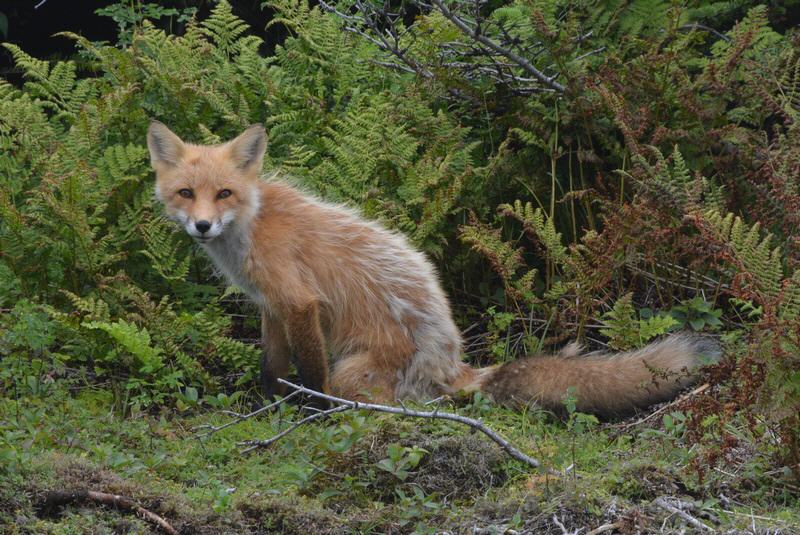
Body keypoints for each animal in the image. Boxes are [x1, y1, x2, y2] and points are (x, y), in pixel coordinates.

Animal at [145, 122, 720, 418]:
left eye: (223, 193)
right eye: (186, 193)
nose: (202, 226)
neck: (252, 223)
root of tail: (455, 365)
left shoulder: (299, 302)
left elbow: (310, 377)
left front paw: (311, 414)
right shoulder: (272, 306)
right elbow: (272, 369)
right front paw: (268, 408)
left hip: (355, 371)